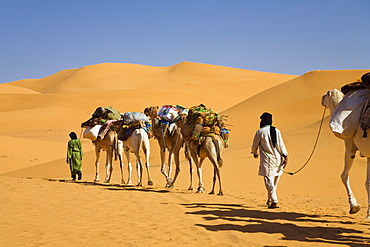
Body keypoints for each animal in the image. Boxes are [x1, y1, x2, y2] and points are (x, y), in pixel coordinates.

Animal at [320, 89, 370, 218]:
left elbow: (344, 175)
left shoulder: (349, 144)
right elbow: (368, 183)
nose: (321, 98)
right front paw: (368, 213)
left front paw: (354, 206)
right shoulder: (368, 154)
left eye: (326, 93)